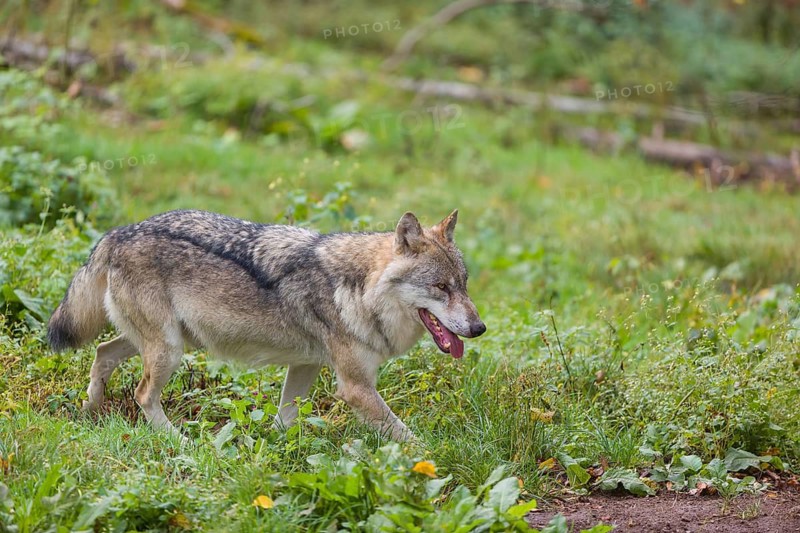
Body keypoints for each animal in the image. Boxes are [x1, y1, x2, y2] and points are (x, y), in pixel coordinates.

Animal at [47, 209, 485, 441]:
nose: (479, 328)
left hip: (165, 343)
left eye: (464, 284)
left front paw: (275, 450)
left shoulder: (306, 366)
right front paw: (437, 468)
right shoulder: (356, 388)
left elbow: (285, 419)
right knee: (141, 394)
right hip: (168, 352)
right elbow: (410, 439)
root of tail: (117, 232)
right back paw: (181, 441)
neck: (357, 289)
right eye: (441, 287)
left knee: (102, 354)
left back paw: (91, 410)